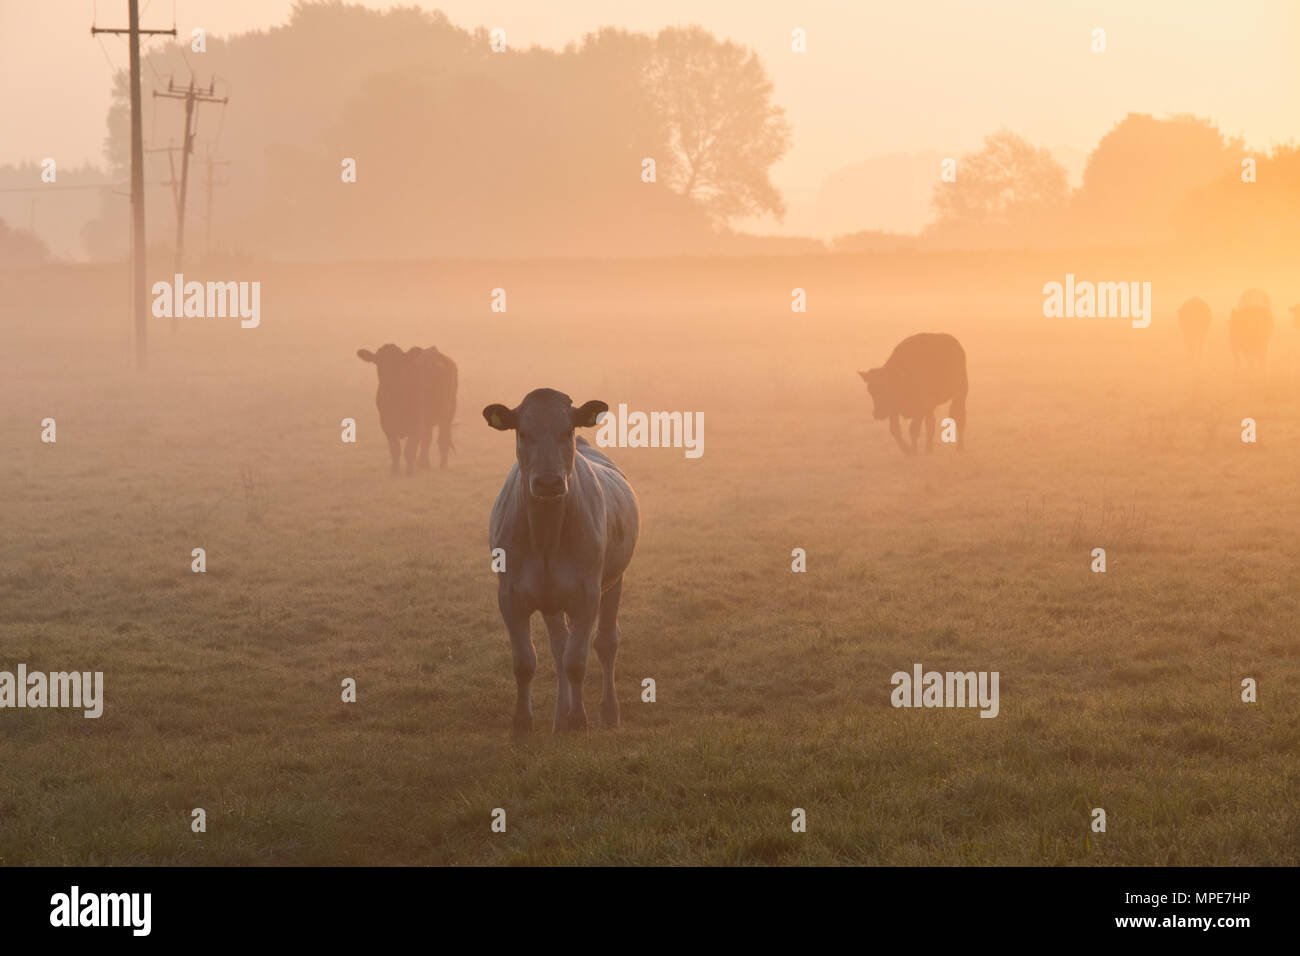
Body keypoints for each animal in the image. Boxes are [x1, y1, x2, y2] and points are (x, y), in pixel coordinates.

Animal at [356, 345, 457, 476]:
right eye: (378, 362)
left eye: (399, 363)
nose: (389, 382)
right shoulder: (386, 423)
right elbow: (395, 450)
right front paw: (394, 473)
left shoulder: (416, 423)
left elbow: (409, 450)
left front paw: (410, 473)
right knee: (427, 439)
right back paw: (424, 465)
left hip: (448, 412)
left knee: (443, 439)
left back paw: (442, 466)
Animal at [483, 387, 639, 733]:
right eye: (523, 433)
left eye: (567, 431)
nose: (548, 482)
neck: (545, 536)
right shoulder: (509, 596)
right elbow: (525, 662)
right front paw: (522, 724)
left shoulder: (587, 595)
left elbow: (576, 661)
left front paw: (579, 721)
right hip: (551, 599)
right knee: (558, 647)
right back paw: (559, 718)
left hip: (614, 581)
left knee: (606, 643)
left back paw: (608, 713)